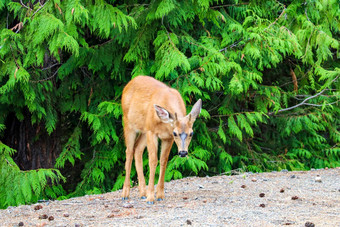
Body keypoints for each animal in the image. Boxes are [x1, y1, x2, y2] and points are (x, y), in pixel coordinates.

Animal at [121, 75, 202, 204]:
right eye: (175, 133)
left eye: (191, 133)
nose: (183, 152)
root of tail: (128, 84)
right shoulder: (152, 132)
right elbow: (153, 161)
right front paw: (151, 197)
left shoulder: (167, 138)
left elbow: (163, 161)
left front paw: (160, 195)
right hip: (129, 123)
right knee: (128, 152)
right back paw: (125, 193)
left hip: (143, 130)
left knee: (137, 149)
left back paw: (142, 193)